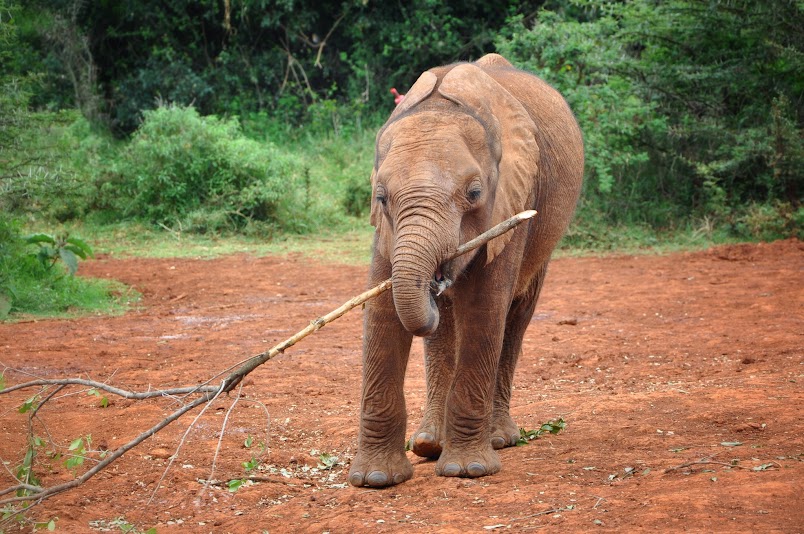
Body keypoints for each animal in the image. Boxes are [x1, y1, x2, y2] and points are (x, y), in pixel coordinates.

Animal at [348, 54, 580, 490]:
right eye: (381, 197)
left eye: (474, 194)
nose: (437, 278)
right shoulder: (385, 232)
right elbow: (383, 312)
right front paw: (375, 479)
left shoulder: (512, 201)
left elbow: (485, 308)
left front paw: (467, 470)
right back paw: (428, 445)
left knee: (515, 316)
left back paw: (499, 439)